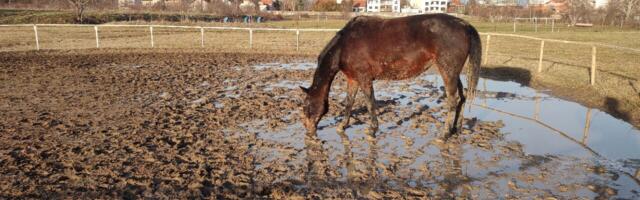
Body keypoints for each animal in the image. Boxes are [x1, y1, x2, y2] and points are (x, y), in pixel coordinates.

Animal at [300, 13, 480, 139]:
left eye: (306, 106)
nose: (308, 131)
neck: (344, 45)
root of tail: (464, 25)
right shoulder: (353, 79)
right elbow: (349, 103)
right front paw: (342, 126)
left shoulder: (364, 79)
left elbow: (370, 103)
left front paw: (372, 130)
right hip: (454, 73)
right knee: (462, 98)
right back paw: (456, 129)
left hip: (447, 71)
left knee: (452, 101)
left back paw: (445, 134)